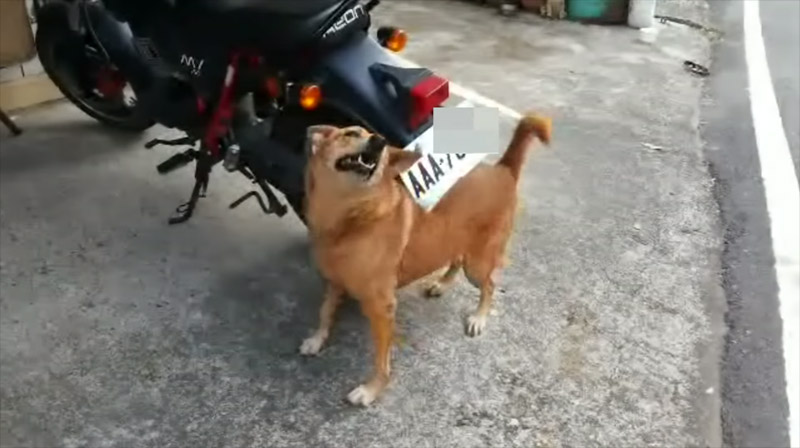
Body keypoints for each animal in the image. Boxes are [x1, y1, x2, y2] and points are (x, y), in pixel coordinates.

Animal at [301, 114, 551, 406]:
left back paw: (478, 317)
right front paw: (317, 339)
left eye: (384, 154)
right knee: (456, 258)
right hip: (455, 240)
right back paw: (441, 284)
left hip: (476, 265)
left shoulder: (382, 308)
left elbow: (381, 360)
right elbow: (325, 312)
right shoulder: (333, 282)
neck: (349, 219)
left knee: (489, 285)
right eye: (350, 133)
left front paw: (372, 390)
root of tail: (503, 169)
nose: (379, 141)